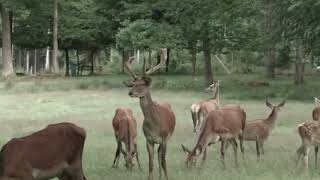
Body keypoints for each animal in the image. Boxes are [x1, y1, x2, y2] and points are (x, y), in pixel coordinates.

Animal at [123, 48, 178, 180]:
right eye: (133, 84)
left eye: (142, 84)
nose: (130, 92)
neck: (155, 124)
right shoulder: (149, 139)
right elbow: (150, 163)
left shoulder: (164, 139)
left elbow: (163, 162)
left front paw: (167, 178)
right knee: (157, 157)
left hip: (167, 139)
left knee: (161, 158)